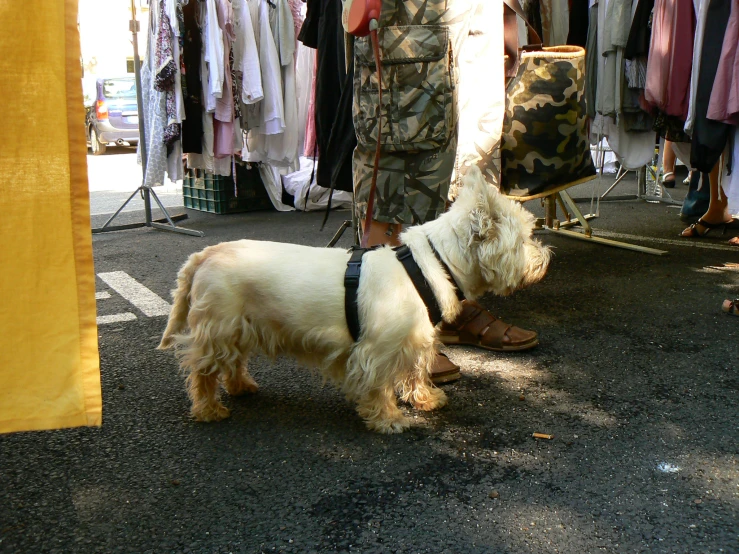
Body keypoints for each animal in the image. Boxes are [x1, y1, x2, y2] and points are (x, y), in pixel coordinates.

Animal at [159, 166, 552, 434]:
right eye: (525, 238)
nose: (548, 258)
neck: (435, 262)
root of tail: (205, 254)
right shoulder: (376, 349)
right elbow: (379, 384)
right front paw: (388, 418)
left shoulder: (416, 340)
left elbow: (416, 371)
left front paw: (427, 399)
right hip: (219, 324)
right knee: (203, 368)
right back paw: (208, 409)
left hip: (240, 324)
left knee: (233, 361)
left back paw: (241, 387)